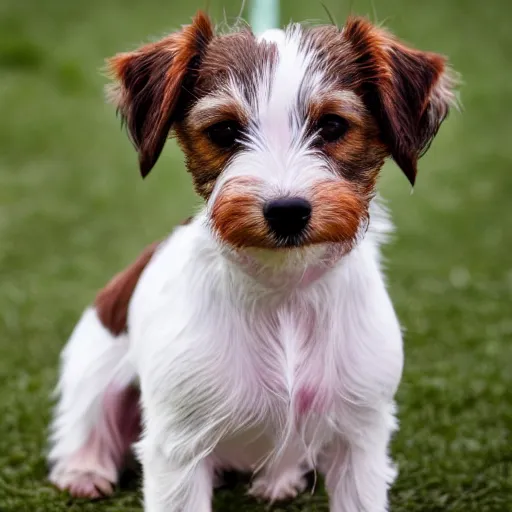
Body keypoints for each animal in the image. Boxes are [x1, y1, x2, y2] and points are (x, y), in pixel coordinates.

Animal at [47, 10, 456, 510]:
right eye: (224, 131)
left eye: (333, 126)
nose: (287, 210)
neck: (286, 292)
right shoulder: (178, 447)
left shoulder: (362, 439)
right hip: (93, 370)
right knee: (86, 421)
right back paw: (84, 469)